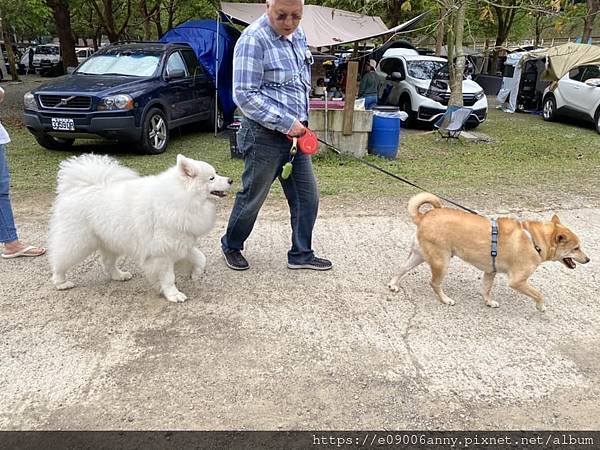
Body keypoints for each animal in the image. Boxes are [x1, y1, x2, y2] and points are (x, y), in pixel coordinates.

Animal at [47, 153, 232, 304]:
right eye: (211, 178)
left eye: (216, 174)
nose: (230, 180)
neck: (180, 200)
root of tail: (80, 188)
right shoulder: (162, 253)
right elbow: (168, 278)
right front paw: (173, 295)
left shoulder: (181, 244)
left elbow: (201, 258)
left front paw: (195, 274)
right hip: (78, 242)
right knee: (60, 260)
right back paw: (61, 282)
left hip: (111, 241)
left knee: (107, 263)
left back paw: (119, 275)